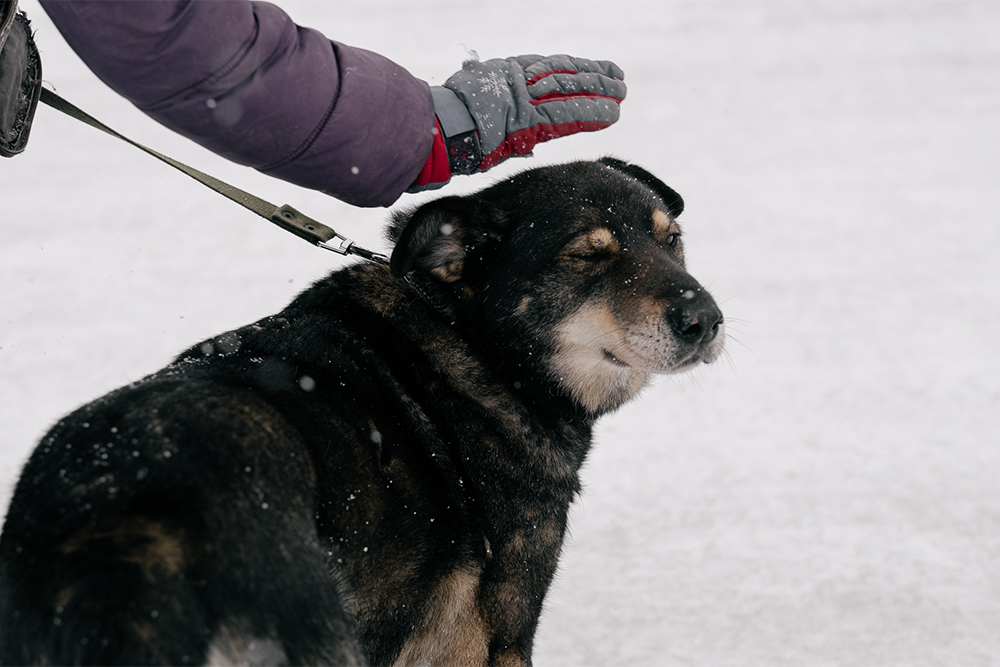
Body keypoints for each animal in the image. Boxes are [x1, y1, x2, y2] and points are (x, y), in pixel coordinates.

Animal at [0, 159, 720, 664]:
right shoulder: (492, 638)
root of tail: (116, 524)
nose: (705, 320)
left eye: (672, 241)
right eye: (588, 255)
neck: (470, 340)